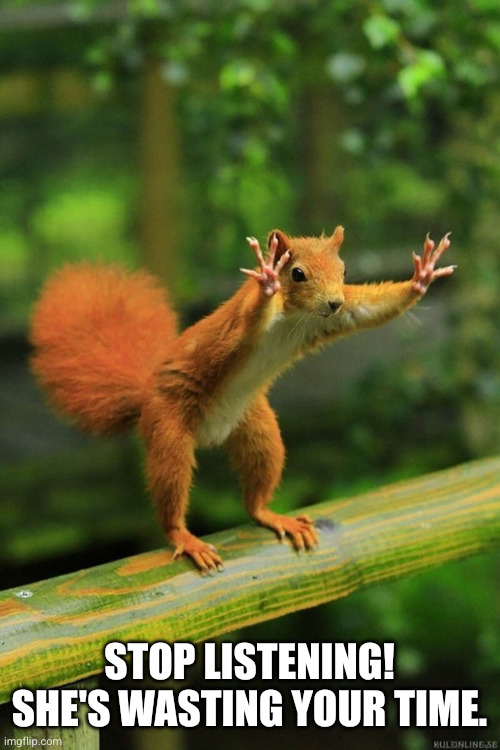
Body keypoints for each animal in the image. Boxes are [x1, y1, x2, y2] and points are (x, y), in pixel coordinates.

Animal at [30, 227, 454, 572]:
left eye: (345, 270)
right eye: (296, 273)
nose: (333, 301)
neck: (294, 316)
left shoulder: (334, 318)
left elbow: (368, 309)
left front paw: (422, 277)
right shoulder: (238, 326)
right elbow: (247, 321)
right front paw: (266, 278)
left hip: (258, 429)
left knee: (256, 493)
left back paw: (271, 515)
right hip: (168, 429)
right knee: (170, 487)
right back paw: (184, 536)